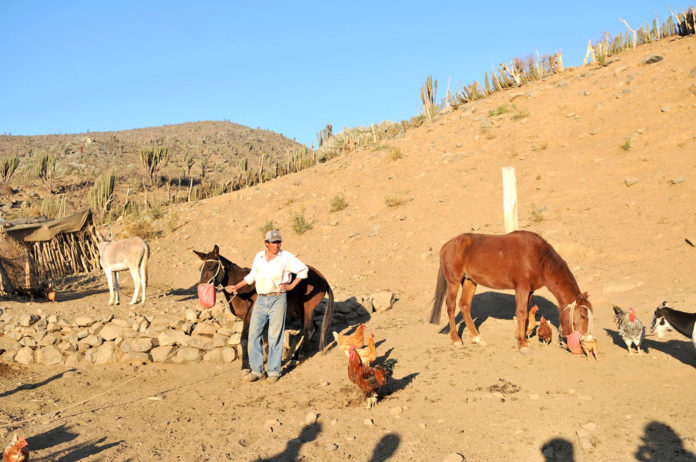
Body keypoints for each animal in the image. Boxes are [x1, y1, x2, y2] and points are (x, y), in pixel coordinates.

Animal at [193, 245, 334, 372]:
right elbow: (261, 339)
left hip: (307, 309)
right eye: (200, 269)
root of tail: (323, 279)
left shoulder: (249, 317)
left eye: (211, 268)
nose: (202, 289)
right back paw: (296, 355)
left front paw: (245, 366)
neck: (244, 290)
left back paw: (296, 358)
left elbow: (244, 340)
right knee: (314, 328)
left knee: (309, 329)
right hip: (300, 310)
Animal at [430, 229, 592, 352]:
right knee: (451, 306)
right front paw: (522, 344)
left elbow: (527, 313)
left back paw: (477, 338)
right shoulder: (522, 288)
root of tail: (446, 246)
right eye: (583, 315)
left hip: (470, 281)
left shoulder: (529, 291)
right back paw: (456, 339)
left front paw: (524, 338)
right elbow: (521, 313)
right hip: (454, 281)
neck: (539, 258)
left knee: (464, 306)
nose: (585, 337)